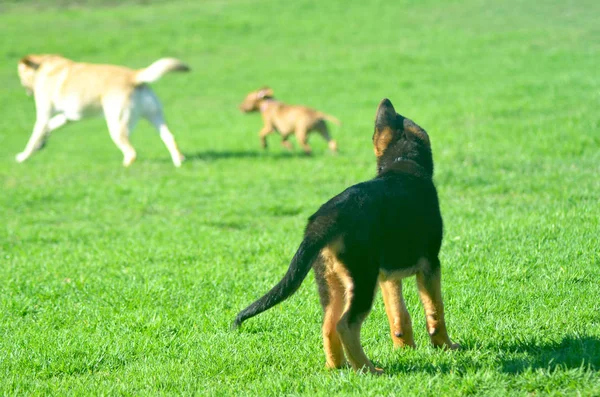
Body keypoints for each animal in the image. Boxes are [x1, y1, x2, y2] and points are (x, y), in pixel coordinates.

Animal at [17, 54, 190, 166]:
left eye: (20, 75)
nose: (26, 91)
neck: (44, 66)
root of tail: (133, 76)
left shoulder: (43, 115)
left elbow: (33, 139)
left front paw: (23, 157)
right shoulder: (69, 116)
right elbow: (50, 126)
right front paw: (43, 141)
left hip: (116, 125)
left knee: (131, 153)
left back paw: (124, 167)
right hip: (154, 116)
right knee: (169, 137)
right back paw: (178, 161)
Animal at [234, 98, 460, 372]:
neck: (402, 162)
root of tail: (323, 220)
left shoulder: (387, 277)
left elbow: (398, 314)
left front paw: (405, 348)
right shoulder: (430, 265)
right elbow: (436, 311)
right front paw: (445, 346)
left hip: (332, 282)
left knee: (328, 325)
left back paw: (338, 368)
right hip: (361, 279)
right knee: (346, 324)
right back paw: (369, 369)